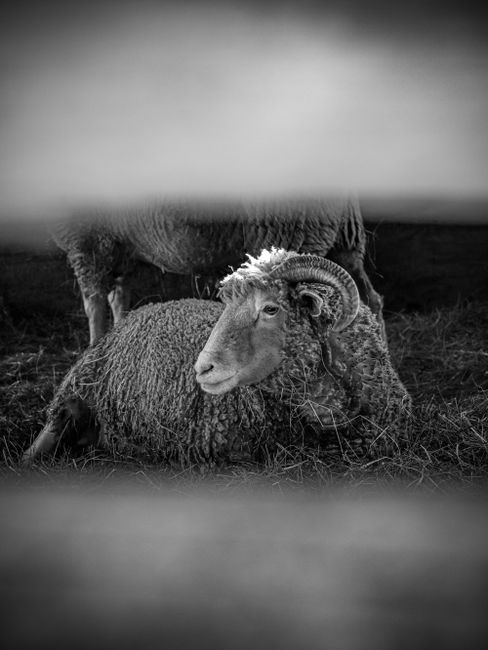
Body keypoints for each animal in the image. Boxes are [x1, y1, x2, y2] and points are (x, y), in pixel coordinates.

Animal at [51, 196, 384, 344]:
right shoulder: (117, 248)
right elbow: (117, 300)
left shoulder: (88, 244)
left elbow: (94, 305)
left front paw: (93, 347)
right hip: (345, 242)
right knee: (369, 300)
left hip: (295, 238)